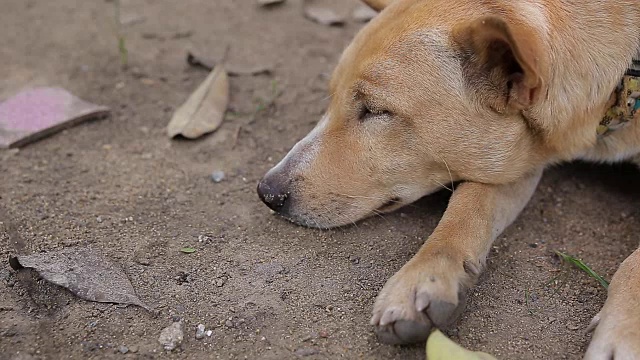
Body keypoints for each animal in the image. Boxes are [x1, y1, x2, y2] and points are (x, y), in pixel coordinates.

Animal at [256, 1, 640, 358]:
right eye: (331, 96)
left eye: (376, 111)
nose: (267, 192)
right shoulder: (515, 156)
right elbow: (465, 205)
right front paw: (423, 277)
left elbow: (633, 264)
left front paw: (622, 333)